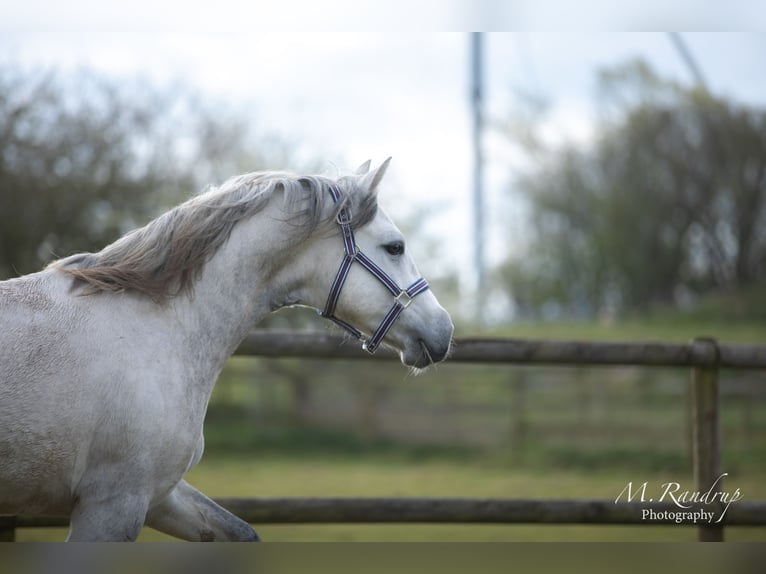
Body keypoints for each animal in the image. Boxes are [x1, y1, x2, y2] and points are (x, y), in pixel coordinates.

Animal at [0, 160, 452, 544]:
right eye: (395, 247)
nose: (444, 331)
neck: (154, 326)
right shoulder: (113, 503)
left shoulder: (158, 495)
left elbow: (241, 533)